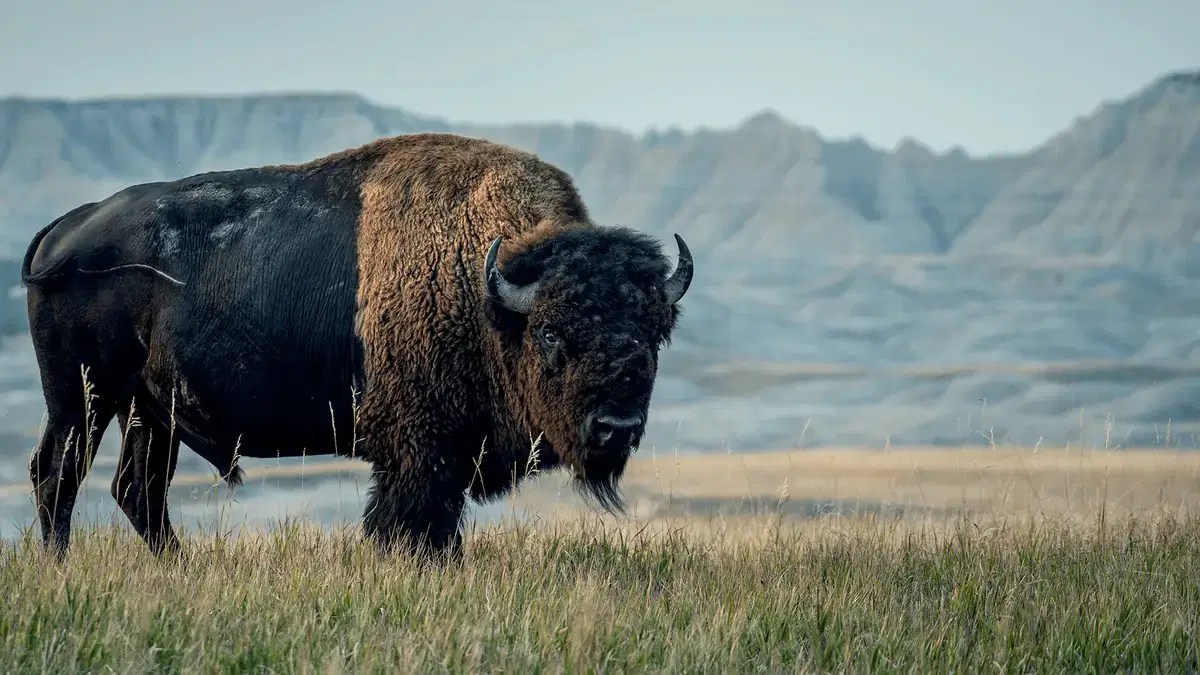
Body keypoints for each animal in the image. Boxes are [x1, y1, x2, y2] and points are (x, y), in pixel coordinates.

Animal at [21, 132, 693, 560]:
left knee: (137, 489)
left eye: (654, 332)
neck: (485, 288)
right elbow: (412, 525)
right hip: (82, 397)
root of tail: (66, 228)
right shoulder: (419, 454)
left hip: (148, 409)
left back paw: (180, 571)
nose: (615, 426)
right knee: (59, 473)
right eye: (551, 331)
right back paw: (60, 569)